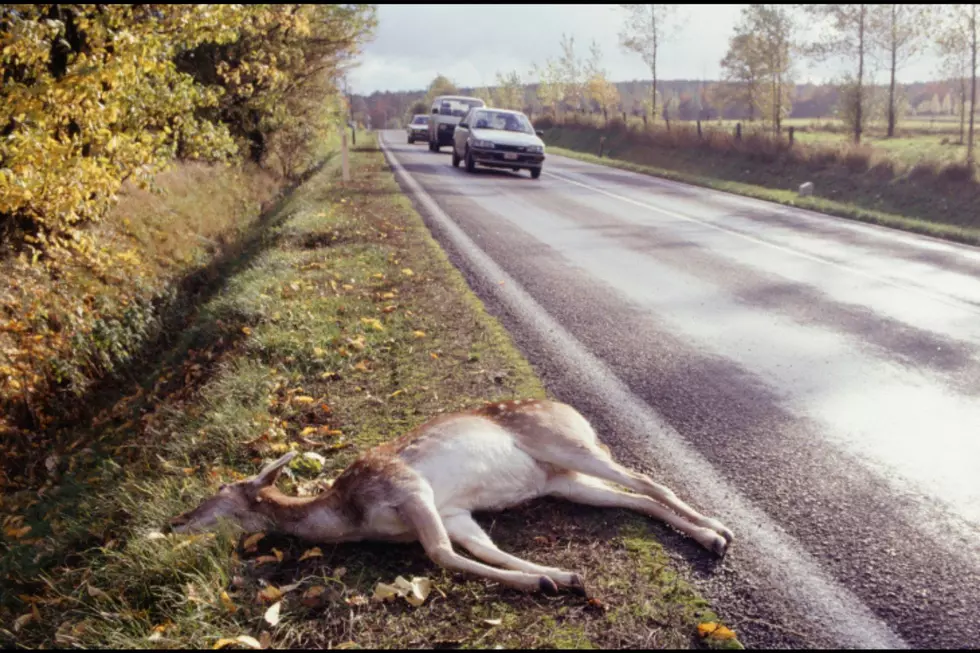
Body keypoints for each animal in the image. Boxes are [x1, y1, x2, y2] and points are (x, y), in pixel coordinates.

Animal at [170, 398, 736, 596]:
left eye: (215, 491)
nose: (174, 522)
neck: (351, 517)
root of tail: (576, 413)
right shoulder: (454, 510)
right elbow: (482, 548)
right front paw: (559, 576)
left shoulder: (407, 487)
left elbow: (440, 554)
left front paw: (544, 582)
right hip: (562, 480)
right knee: (633, 497)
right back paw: (709, 538)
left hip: (564, 442)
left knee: (647, 481)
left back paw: (721, 531)